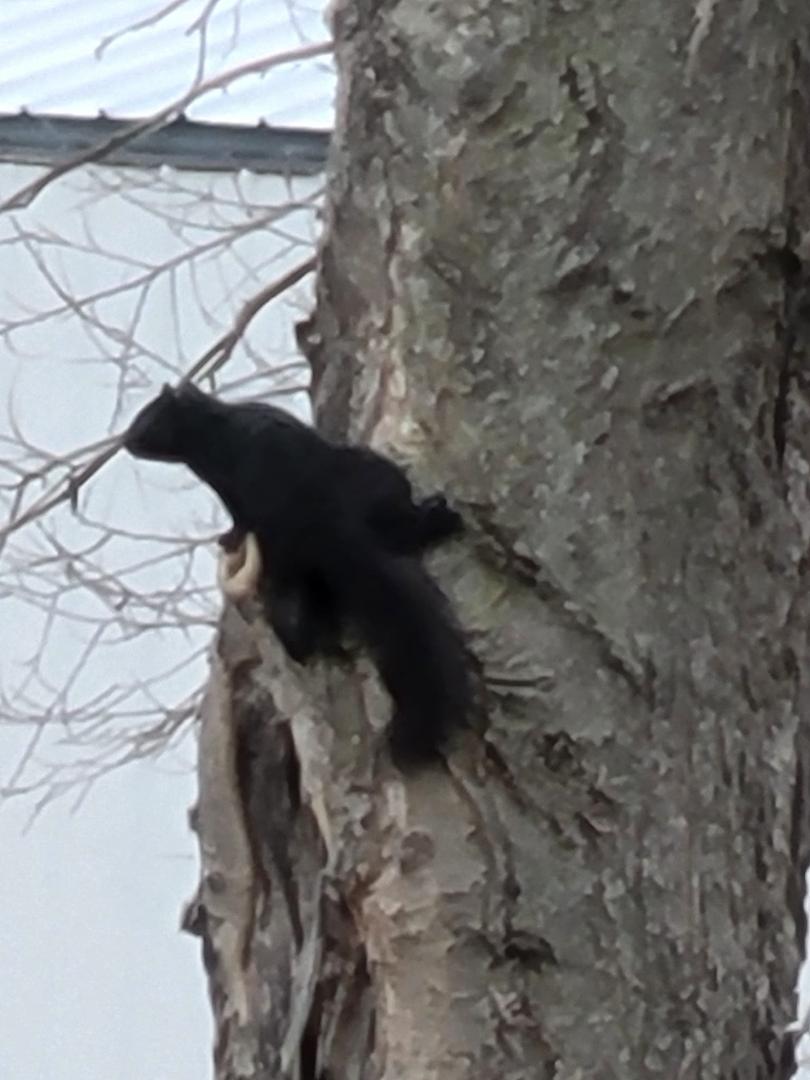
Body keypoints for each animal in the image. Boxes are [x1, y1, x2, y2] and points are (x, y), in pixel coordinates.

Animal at [124, 382, 473, 766]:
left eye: (148, 417)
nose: (126, 441)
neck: (209, 435)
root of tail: (325, 528)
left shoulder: (231, 484)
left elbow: (238, 519)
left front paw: (227, 537)